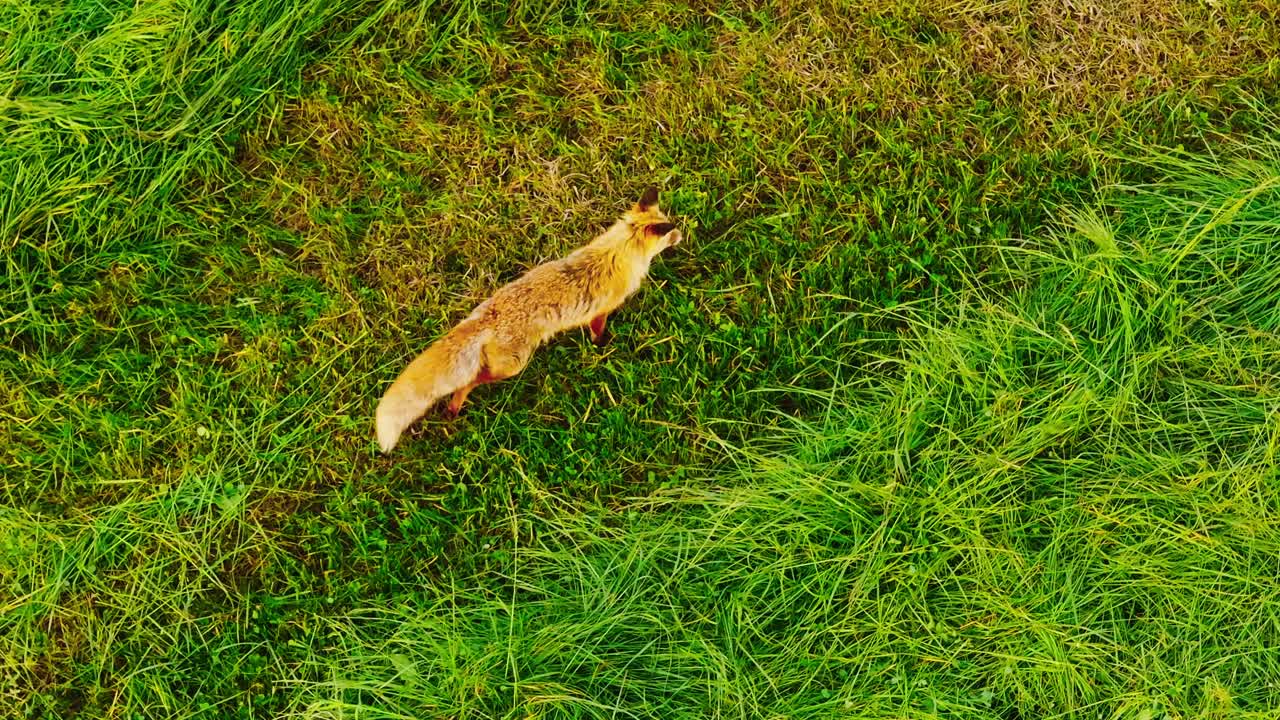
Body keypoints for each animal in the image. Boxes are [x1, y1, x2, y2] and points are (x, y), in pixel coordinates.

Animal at [374, 187, 682, 454]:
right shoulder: (600, 312)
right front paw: (602, 346)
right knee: (468, 382)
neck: (620, 250)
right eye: (670, 231)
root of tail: (490, 314)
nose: (681, 234)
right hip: (513, 366)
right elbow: (598, 331)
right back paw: (455, 407)